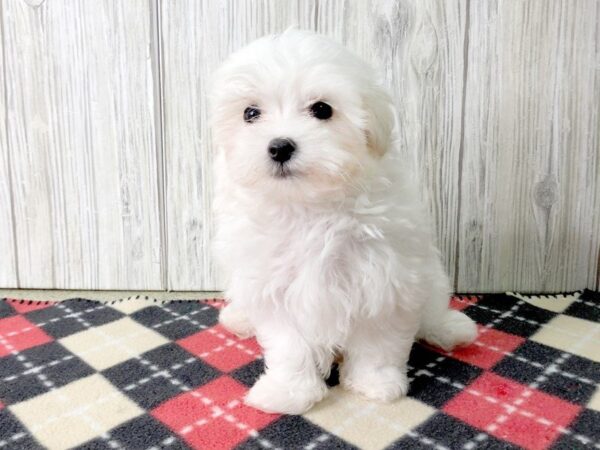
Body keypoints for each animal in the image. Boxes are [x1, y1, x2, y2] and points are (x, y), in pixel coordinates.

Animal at [211, 29, 478, 414]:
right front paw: (287, 391)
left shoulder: (384, 277)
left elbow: (378, 342)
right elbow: (290, 346)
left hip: (430, 276)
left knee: (430, 307)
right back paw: (238, 318)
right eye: (250, 113)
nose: (280, 146)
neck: (309, 206)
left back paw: (447, 327)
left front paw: (375, 383)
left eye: (322, 109)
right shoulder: (276, 285)